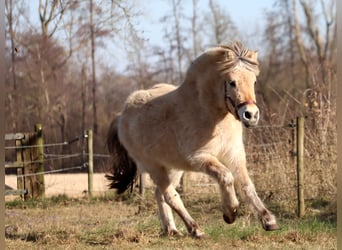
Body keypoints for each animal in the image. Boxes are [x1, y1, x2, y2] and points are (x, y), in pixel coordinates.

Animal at [105, 42, 280, 237]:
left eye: (254, 81)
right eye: (232, 82)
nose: (251, 115)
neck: (208, 113)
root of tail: (121, 117)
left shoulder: (234, 155)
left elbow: (247, 186)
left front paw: (268, 220)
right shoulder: (200, 158)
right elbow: (226, 177)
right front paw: (230, 213)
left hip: (173, 168)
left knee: (160, 195)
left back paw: (172, 230)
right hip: (154, 167)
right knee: (170, 196)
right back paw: (195, 229)